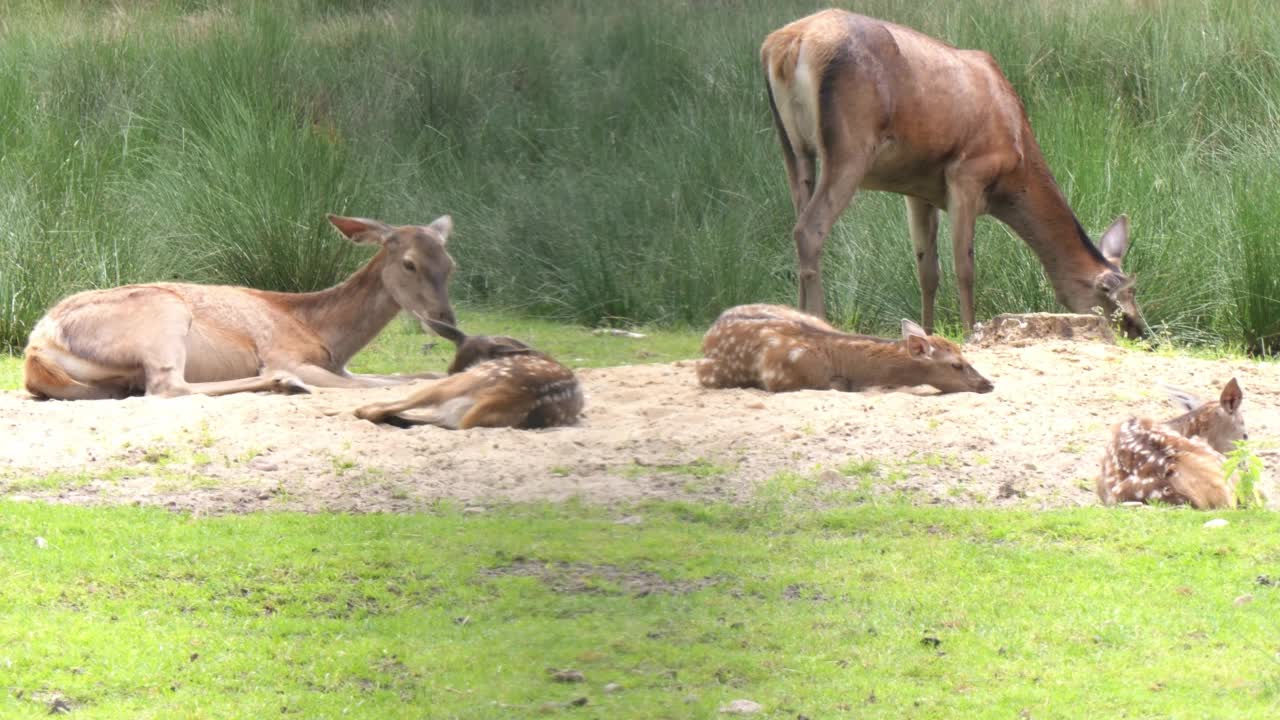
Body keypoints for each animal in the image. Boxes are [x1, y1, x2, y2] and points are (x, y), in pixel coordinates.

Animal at [23, 212, 460, 397]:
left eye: (450, 264)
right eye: (409, 263)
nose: (446, 321)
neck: (326, 337)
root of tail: (37, 346)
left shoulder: (343, 365)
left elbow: (409, 374)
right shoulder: (286, 353)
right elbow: (378, 383)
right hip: (164, 318)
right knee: (169, 387)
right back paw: (283, 383)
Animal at [355, 317, 586, 427]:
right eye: (449, 367)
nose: (453, 372)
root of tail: (500, 398)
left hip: (451, 387)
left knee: (375, 411)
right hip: (456, 411)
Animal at [762, 9, 1146, 335]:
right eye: (1122, 313)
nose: (1143, 333)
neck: (1016, 165)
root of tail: (786, 46)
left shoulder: (917, 189)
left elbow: (928, 270)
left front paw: (927, 332)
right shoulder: (968, 173)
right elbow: (965, 268)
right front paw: (969, 332)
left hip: (793, 147)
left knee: (798, 222)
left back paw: (790, 318)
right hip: (849, 146)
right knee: (809, 229)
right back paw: (817, 320)